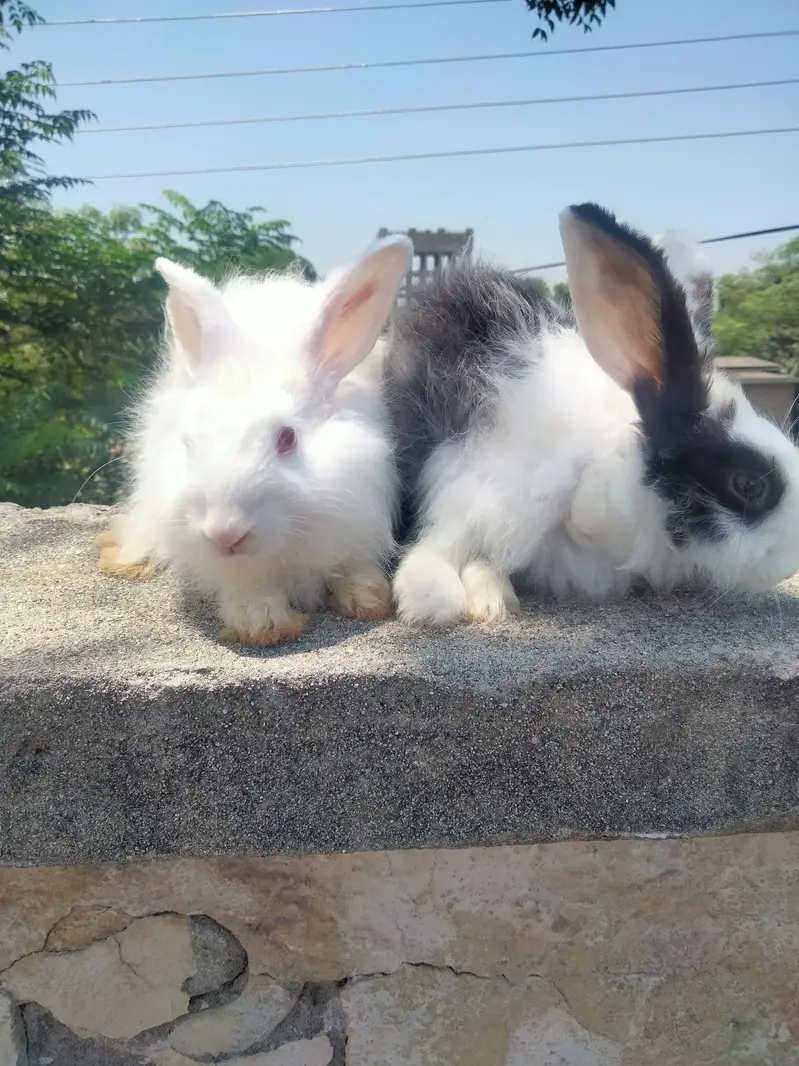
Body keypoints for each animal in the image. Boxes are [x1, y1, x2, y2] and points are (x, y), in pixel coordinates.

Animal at [98, 235, 412, 645]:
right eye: (189, 444)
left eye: (287, 439)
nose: (225, 533)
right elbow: (248, 585)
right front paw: (262, 623)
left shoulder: (358, 518)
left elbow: (354, 565)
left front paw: (368, 599)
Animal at [383, 202, 799, 625]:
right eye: (748, 484)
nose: (790, 564)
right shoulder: (489, 489)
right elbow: (442, 546)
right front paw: (436, 596)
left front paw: (491, 597)